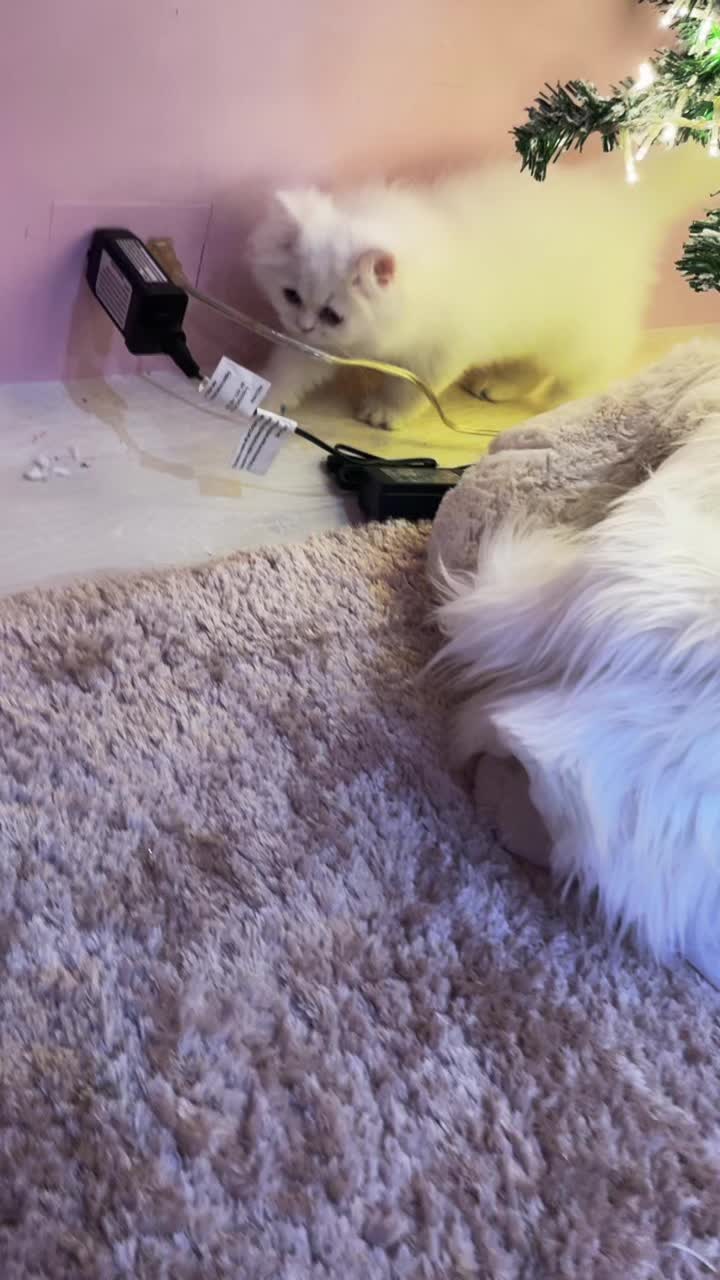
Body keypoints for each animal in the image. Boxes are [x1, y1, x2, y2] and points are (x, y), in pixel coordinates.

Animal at [248, 144, 713, 429]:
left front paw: (383, 412)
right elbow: (288, 369)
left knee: (587, 372)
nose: (304, 325)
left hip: (580, 337)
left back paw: (560, 408)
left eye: (332, 314)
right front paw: (260, 396)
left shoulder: (436, 355)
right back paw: (496, 387)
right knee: (529, 367)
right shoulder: (319, 347)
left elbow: (407, 391)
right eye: (292, 297)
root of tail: (622, 197)